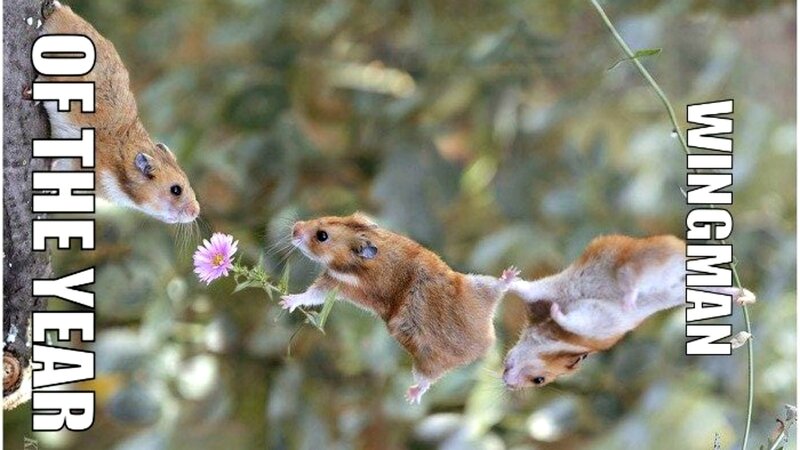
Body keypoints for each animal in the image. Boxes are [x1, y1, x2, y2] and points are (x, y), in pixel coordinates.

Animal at [280, 213, 519, 404]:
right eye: (330, 217)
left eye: (322, 236)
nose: (294, 227)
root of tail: (485, 344)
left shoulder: (337, 284)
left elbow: (312, 294)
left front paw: (285, 301)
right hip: (477, 285)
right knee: (497, 289)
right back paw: (511, 274)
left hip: (425, 362)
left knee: (425, 382)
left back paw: (411, 396)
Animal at [502, 235, 756, 389]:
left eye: (538, 380)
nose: (505, 381)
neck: (552, 340)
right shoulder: (547, 296)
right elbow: (526, 290)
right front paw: (509, 275)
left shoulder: (596, 322)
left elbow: (569, 317)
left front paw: (556, 311)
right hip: (685, 288)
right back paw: (744, 296)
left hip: (639, 261)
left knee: (631, 276)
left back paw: (629, 299)